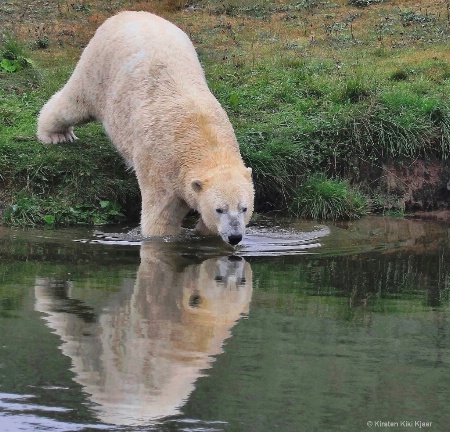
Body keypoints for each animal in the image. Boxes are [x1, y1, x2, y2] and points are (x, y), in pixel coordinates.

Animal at [37, 11, 255, 246]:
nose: (235, 236)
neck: (202, 134)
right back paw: (56, 134)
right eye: (219, 209)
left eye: (243, 208)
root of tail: (127, 13)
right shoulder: (161, 166)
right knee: (74, 101)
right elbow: (160, 218)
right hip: (99, 67)